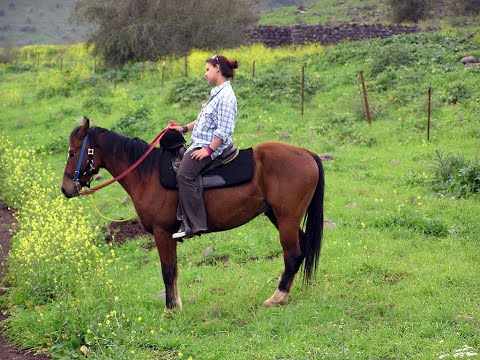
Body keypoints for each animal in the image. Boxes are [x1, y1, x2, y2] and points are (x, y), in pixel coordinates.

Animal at [60, 118, 322, 310]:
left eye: (72, 152)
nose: (66, 189)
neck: (148, 175)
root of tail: (306, 154)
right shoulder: (169, 236)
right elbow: (174, 270)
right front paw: (177, 304)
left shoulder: (162, 233)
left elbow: (167, 271)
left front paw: (170, 309)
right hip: (278, 217)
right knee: (302, 248)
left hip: (286, 218)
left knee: (292, 254)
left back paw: (278, 297)